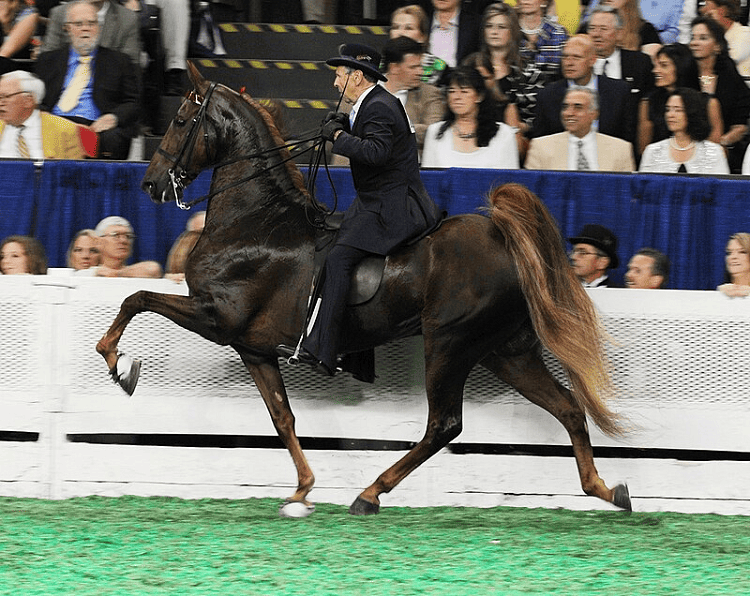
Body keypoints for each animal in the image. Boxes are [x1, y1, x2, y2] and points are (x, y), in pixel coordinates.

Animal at [95, 61, 636, 516]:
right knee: (568, 407)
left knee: (444, 424)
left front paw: (121, 366)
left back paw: (371, 493)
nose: (151, 184)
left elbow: (136, 299)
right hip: (506, 350)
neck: (256, 222)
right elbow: (282, 418)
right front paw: (302, 490)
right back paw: (606, 490)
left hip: (450, 343)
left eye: (181, 120)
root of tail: (504, 239)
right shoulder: (254, 348)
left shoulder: (214, 316)